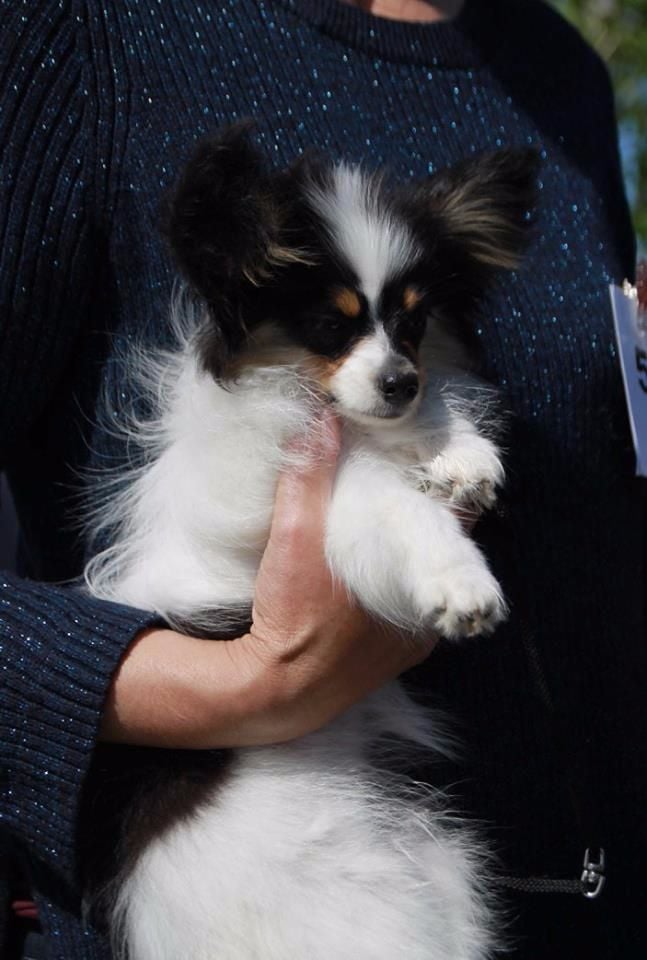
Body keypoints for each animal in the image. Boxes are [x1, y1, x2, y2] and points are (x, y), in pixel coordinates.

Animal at [83, 127, 536, 960]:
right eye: (331, 325)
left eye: (412, 323)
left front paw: (455, 450)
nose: (400, 383)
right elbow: (390, 504)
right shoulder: (296, 495)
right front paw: (459, 581)